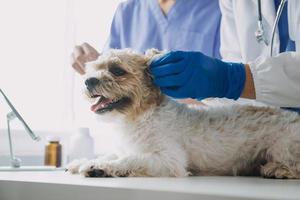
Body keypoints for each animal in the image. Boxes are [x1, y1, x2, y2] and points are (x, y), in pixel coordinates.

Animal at [67, 48, 300, 178]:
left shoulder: (168, 160)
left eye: (117, 70)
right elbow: (115, 154)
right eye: (94, 68)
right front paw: (82, 162)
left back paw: (277, 170)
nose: (88, 81)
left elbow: (129, 160)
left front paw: (100, 166)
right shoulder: (127, 147)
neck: (141, 115)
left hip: (282, 146)